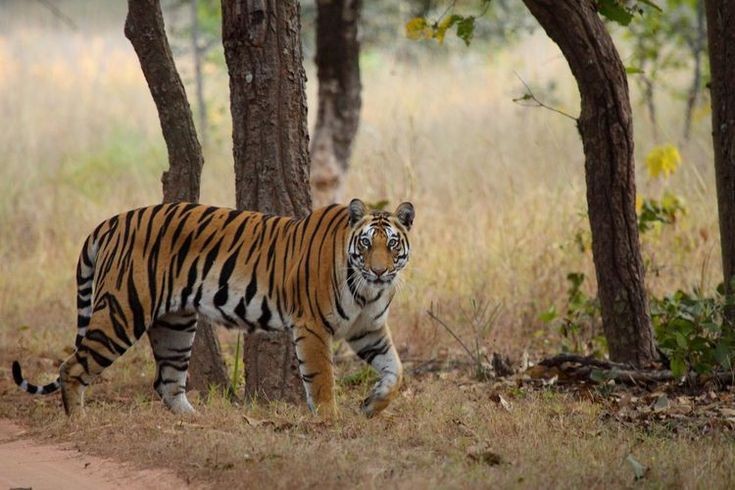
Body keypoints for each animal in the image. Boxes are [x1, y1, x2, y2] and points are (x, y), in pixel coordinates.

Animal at [12, 197, 414, 420]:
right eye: (366, 244)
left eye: (392, 244)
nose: (380, 270)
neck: (368, 291)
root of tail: (111, 221)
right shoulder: (312, 326)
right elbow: (322, 378)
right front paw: (331, 420)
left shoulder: (368, 329)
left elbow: (396, 371)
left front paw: (372, 406)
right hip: (121, 312)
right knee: (72, 366)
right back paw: (78, 422)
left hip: (174, 325)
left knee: (167, 382)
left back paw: (195, 420)